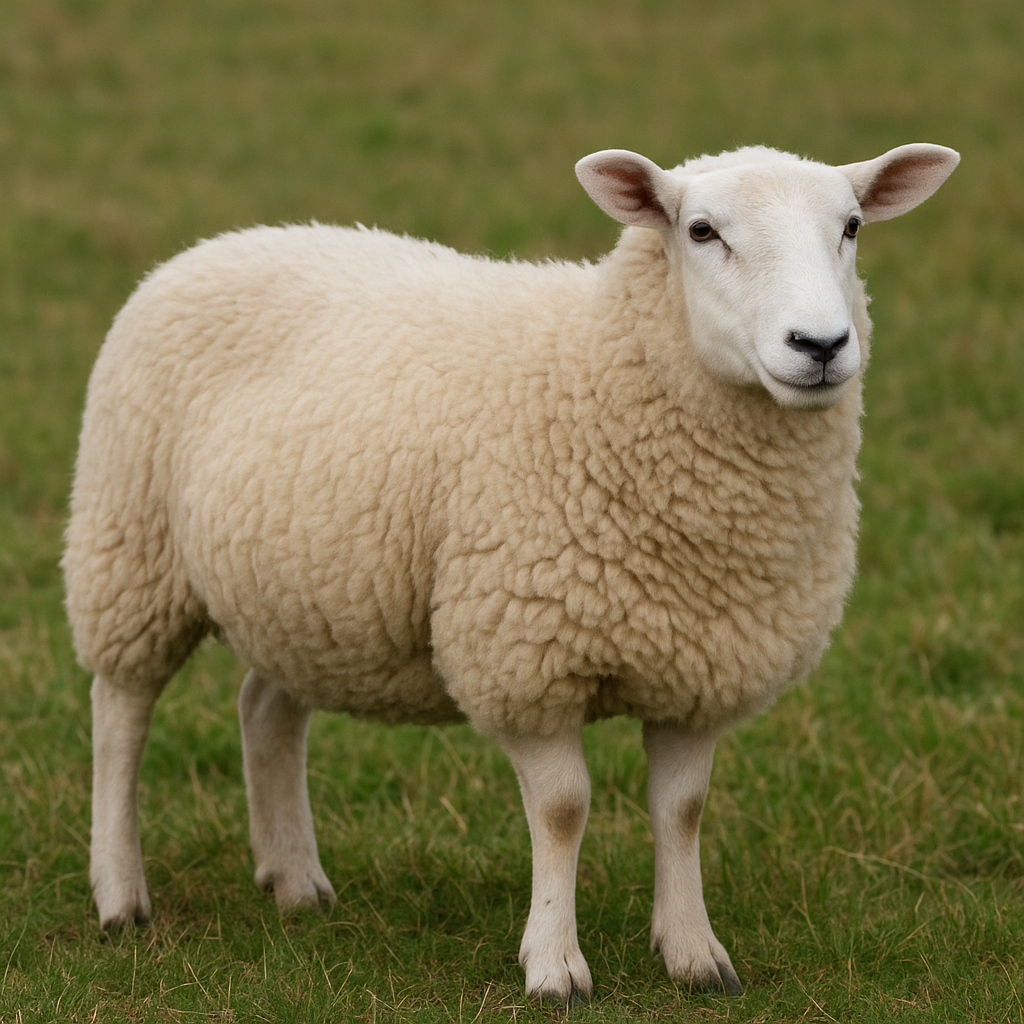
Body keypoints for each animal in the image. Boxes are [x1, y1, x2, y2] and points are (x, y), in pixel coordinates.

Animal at [63, 141, 959, 1003]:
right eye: (702, 231)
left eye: (851, 227)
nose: (821, 346)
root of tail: (220, 243)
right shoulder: (526, 655)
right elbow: (563, 811)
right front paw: (555, 967)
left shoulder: (700, 666)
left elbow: (683, 811)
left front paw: (695, 956)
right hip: (130, 547)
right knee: (120, 714)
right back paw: (119, 896)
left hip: (306, 591)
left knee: (266, 709)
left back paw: (295, 882)